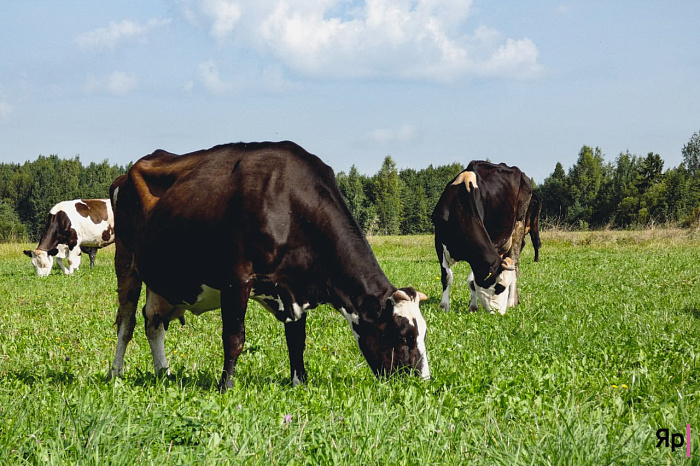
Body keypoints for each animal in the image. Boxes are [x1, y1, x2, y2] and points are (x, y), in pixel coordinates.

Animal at [430, 162, 532, 314]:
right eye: (500, 287)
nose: (500, 313)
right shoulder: (439, 240)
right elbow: (446, 276)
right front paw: (444, 306)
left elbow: (472, 281)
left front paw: (473, 306)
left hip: (519, 223)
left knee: (515, 265)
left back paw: (511, 302)